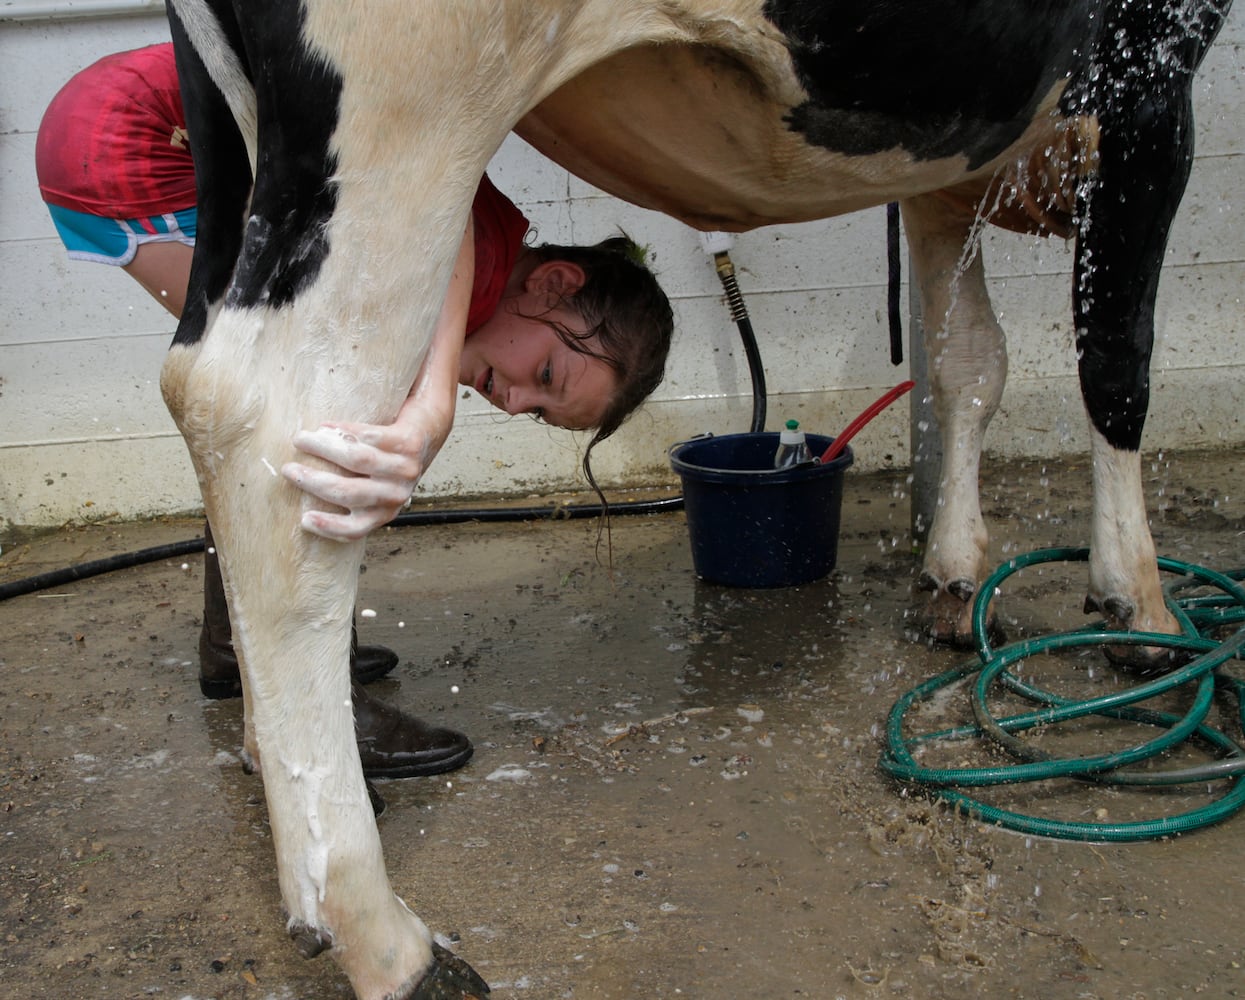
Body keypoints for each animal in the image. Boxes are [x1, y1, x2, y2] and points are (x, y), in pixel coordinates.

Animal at [160, 0, 1230, 996]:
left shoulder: (953, 155)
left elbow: (964, 358)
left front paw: (952, 578)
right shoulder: (1145, 77)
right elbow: (1115, 364)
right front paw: (1141, 612)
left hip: (238, 138)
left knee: (197, 391)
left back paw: (275, 777)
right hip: (406, 110)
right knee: (274, 417)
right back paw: (385, 937)